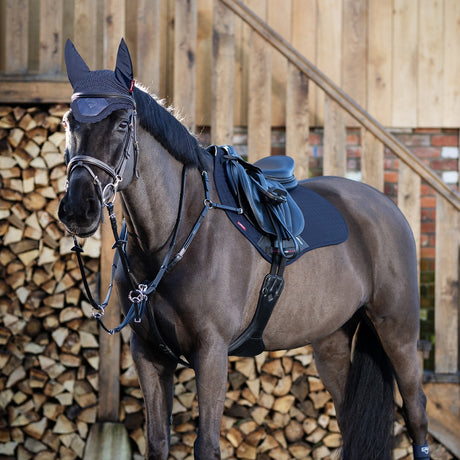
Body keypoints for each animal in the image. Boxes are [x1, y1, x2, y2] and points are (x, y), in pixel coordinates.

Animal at [58, 39, 432, 460]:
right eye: (69, 123)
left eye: (123, 123)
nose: (78, 209)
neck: (174, 236)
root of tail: (386, 207)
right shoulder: (148, 354)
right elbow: (157, 443)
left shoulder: (211, 352)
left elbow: (206, 445)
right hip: (332, 340)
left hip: (397, 332)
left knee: (416, 413)